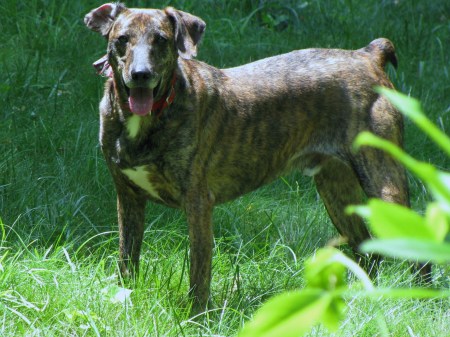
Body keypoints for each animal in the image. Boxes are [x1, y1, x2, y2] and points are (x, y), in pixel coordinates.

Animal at [85, 1, 418, 312]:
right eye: (122, 39)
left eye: (161, 40)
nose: (141, 75)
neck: (150, 116)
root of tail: (368, 55)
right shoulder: (128, 198)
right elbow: (127, 259)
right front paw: (124, 300)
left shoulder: (198, 204)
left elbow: (198, 273)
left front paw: (196, 317)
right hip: (336, 189)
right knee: (367, 250)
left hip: (384, 181)